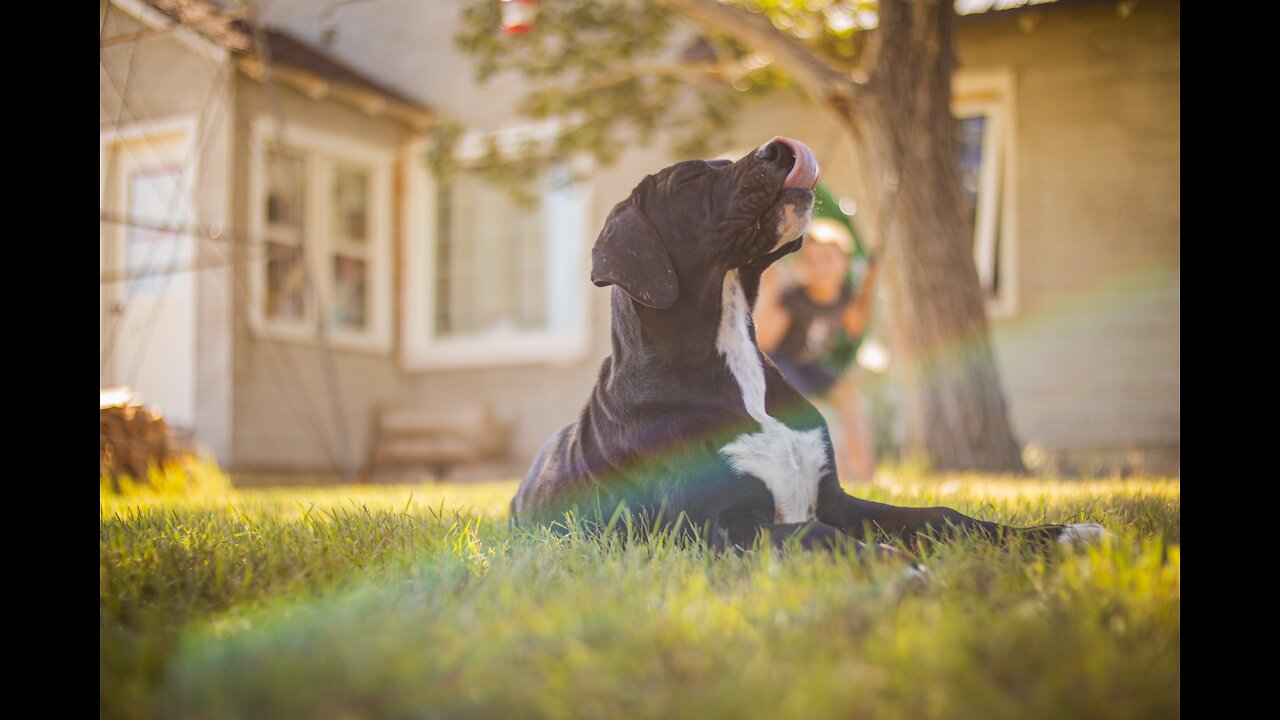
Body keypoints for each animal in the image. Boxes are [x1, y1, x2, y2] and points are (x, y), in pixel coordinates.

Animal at [509, 137, 1100, 550]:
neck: (734, 362)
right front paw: (897, 567)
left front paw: (1062, 534)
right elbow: (817, 536)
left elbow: (942, 516)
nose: (779, 148)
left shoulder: (834, 498)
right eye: (690, 178)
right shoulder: (724, 527)